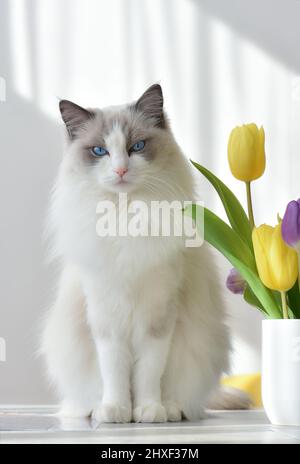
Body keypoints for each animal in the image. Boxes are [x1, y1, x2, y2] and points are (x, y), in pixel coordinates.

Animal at [41, 84, 250, 424]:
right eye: (99, 151)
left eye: (136, 146)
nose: (121, 169)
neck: (127, 219)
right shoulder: (107, 319)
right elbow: (115, 372)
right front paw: (116, 411)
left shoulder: (159, 317)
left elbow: (148, 373)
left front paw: (148, 411)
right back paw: (94, 410)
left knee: (183, 397)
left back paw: (172, 410)